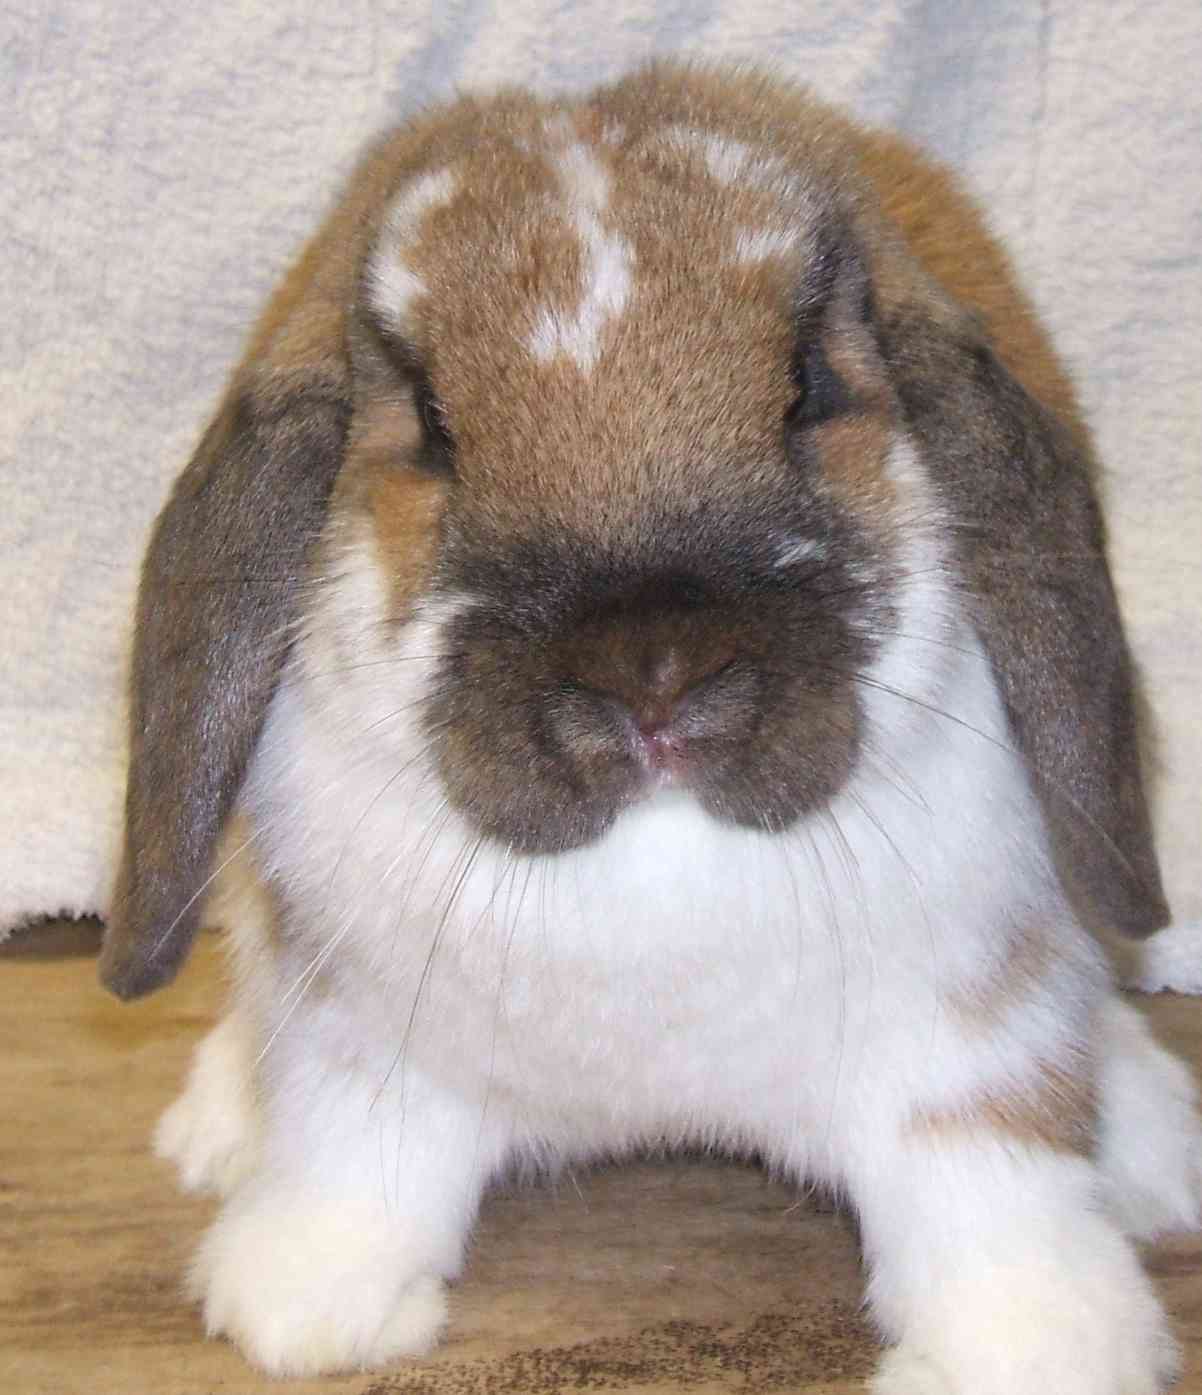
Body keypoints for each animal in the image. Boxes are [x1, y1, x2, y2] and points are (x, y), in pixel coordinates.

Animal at [100, 61, 1202, 1392]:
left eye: (805, 385)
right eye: (429, 420)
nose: (651, 677)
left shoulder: (972, 1031)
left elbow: (990, 1176)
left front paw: (1031, 1342)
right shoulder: (357, 1038)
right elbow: (350, 1154)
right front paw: (307, 1302)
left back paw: (1151, 1147)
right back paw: (216, 1125)